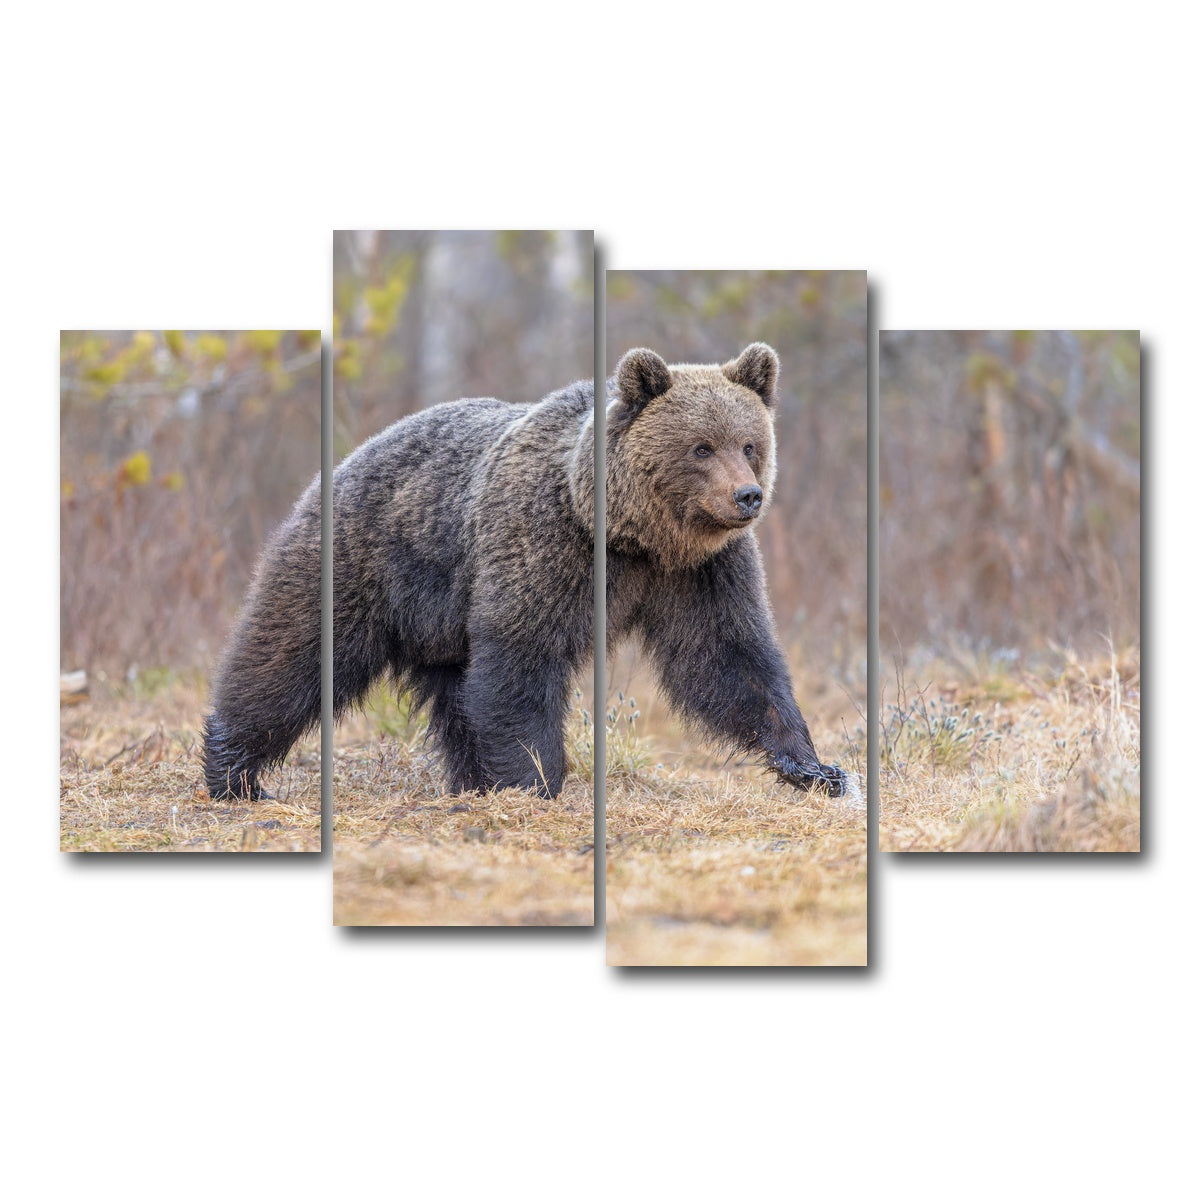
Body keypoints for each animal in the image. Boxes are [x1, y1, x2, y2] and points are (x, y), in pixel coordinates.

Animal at [203, 379, 595, 800]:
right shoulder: (537, 552)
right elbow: (523, 661)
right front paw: (534, 780)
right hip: (356, 575)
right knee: (291, 660)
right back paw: (235, 774)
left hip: (438, 621)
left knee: (456, 700)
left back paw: (472, 781)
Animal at [605, 343, 847, 797]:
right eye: (702, 447)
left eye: (749, 445)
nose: (747, 495)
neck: (647, 541)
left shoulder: (707, 571)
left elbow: (730, 656)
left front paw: (814, 768)